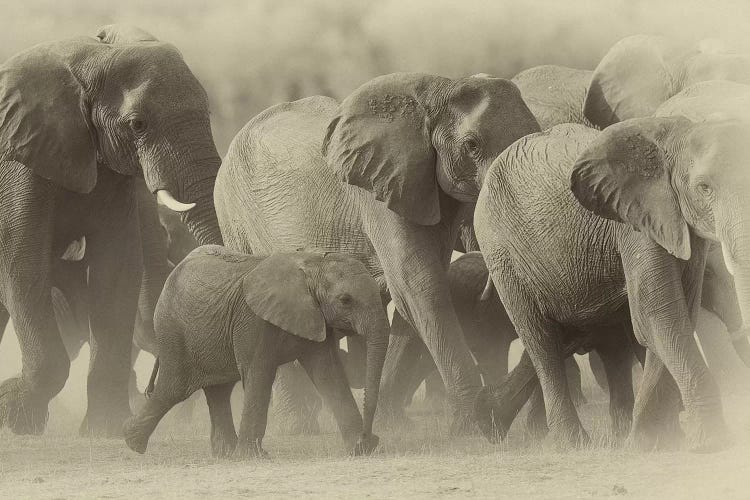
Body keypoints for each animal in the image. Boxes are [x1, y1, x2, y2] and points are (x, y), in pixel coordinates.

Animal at [0, 27, 223, 436]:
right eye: (137, 124)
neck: (91, 58)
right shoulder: (18, 166)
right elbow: (20, 265)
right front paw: (15, 416)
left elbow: (116, 269)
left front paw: (105, 429)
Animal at [124, 246, 390, 458]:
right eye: (345, 300)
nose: (369, 437)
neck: (311, 262)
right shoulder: (253, 320)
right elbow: (259, 373)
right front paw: (254, 456)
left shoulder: (314, 316)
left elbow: (328, 372)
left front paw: (360, 449)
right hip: (173, 331)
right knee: (174, 388)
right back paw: (132, 442)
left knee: (218, 392)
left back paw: (225, 453)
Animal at [214, 75, 544, 430]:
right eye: (472, 145)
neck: (438, 90)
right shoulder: (378, 193)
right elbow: (418, 284)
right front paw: (474, 425)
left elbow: (412, 297)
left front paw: (392, 425)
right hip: (233, 213)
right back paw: (297, 427)